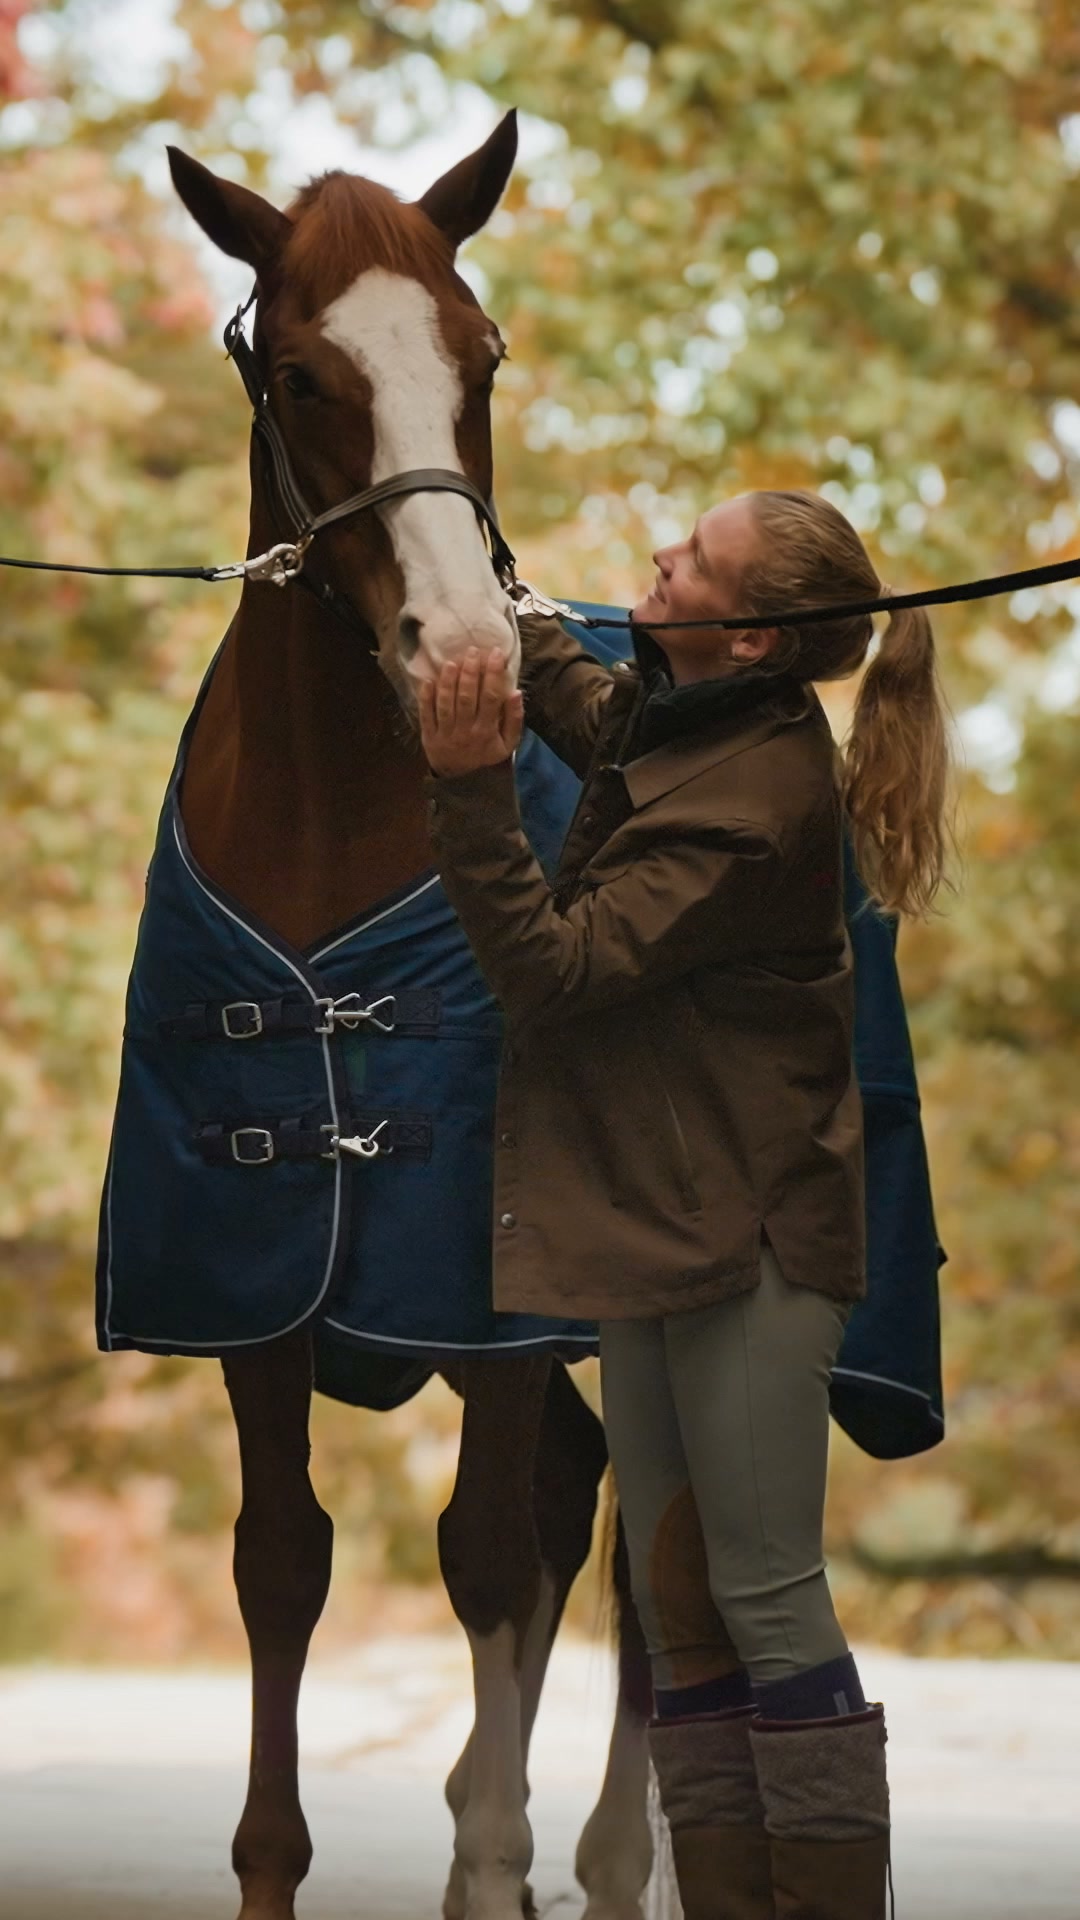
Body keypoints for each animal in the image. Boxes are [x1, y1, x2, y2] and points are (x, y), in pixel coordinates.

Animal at [98, 113, 657, 1920]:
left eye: (481, 358)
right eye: (299, 372)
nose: (466, 656)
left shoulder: (490, 1302)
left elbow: (481, 1554)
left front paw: (497, 1867)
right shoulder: (252, 1289)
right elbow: (284, 1566)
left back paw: (606, 1854)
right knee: (579, 1497)